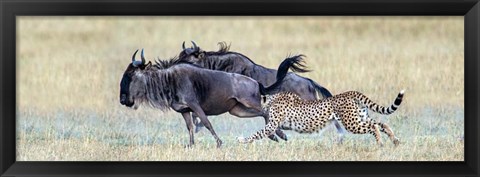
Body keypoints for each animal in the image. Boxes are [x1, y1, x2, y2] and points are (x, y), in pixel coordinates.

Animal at [238, 90, 404, 147]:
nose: (251, 105)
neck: (272, 99)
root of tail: (351, 92)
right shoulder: (276, 125)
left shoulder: (272, 124)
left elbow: (257, 133)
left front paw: (243, 140)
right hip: (359, 118)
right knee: (381, 123)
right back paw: (395, 140)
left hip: (352, 122)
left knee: (374, 126)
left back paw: (381, 142)